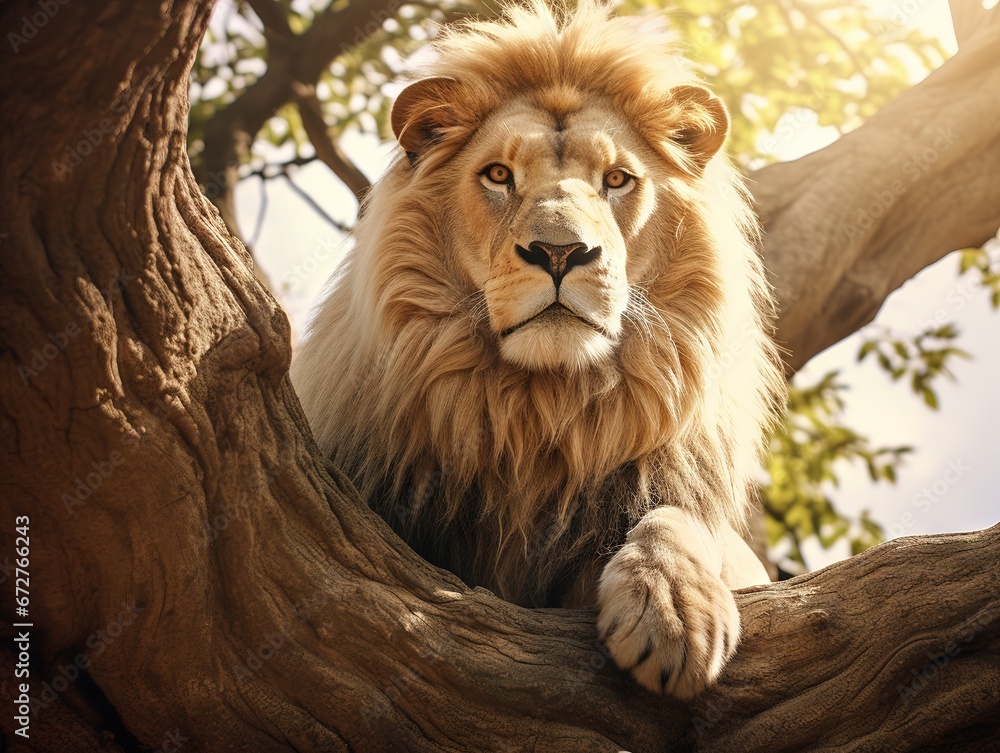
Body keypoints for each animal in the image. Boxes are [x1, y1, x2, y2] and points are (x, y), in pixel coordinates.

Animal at [292, 0, 786, 699]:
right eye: (499, 175)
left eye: (616, 180)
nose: (560, 252)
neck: (536, 411)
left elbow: (680, 521)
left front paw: (673, 611)